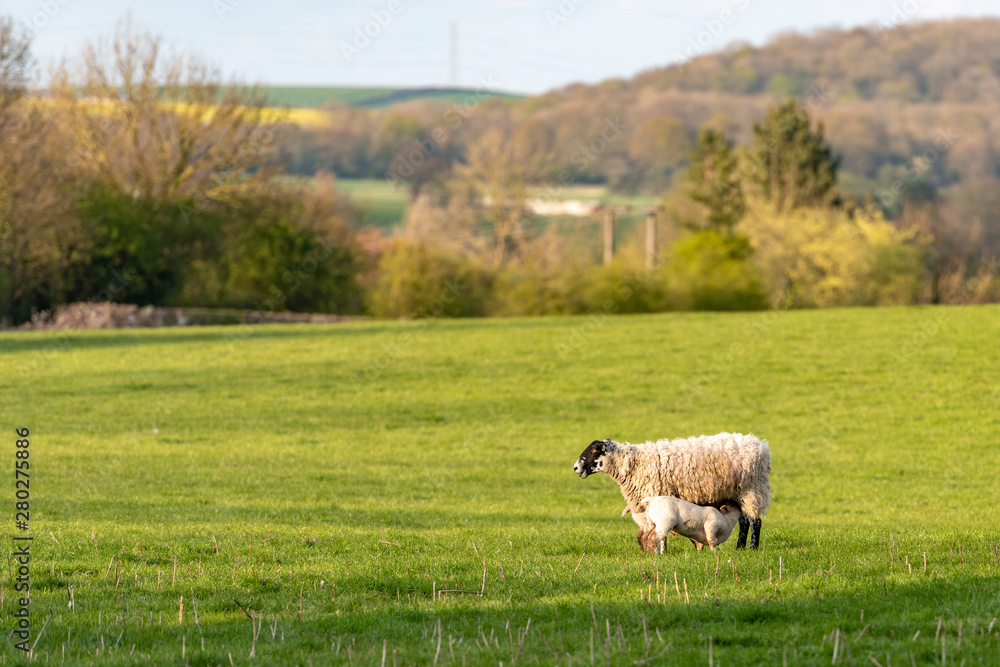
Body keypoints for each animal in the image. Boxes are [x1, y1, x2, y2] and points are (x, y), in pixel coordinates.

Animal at [572, 432, 770, 549]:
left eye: (595, 450)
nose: (575, 468)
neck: (632, 464)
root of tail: (760, 445)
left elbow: (661, 527)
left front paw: (663, 550)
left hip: (752, 489)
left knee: (755, 521)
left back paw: (752, 548)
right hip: (738, 493)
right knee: (744, 521)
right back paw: (739, 548)